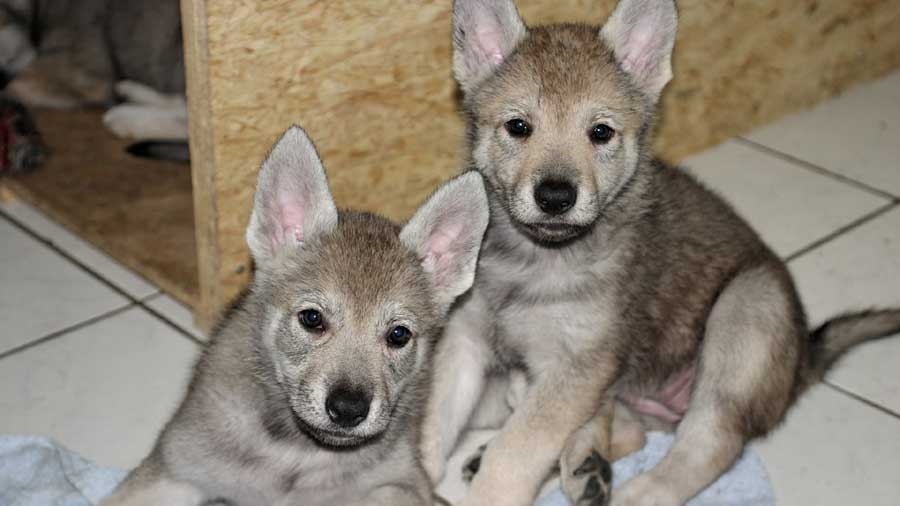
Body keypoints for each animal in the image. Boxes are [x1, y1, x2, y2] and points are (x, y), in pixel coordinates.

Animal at [102, 123, 488, 506]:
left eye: (398, 335)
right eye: (312, 319)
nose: (348, 409)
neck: (296, 455)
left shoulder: (403, 483)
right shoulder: (174, 469)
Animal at [420, 0, 900, 506]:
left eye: (601, 132)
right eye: (518, 127)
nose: (555, 197)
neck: (533, 259)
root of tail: (803, 358)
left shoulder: (576, 368)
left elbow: (515, 454)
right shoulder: (465, 340)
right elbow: (432, 424)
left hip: (746, 313)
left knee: (708, 446)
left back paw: (635, 490)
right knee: (627, 429)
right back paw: (585, 463)